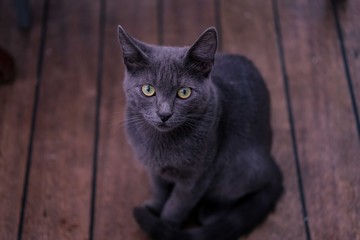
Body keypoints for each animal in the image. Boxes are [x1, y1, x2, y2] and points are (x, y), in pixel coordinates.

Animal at [118, 24, 284, 240]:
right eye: (148, 89)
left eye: (184, 92)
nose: (164, 114)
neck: (160, 144)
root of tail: (271, 159)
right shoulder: (152, 167)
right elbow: (159, 190)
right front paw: (153, 208)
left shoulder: (196, 177)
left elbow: (177, 205)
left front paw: (165, 226)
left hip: (241, 167)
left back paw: (210, 211)